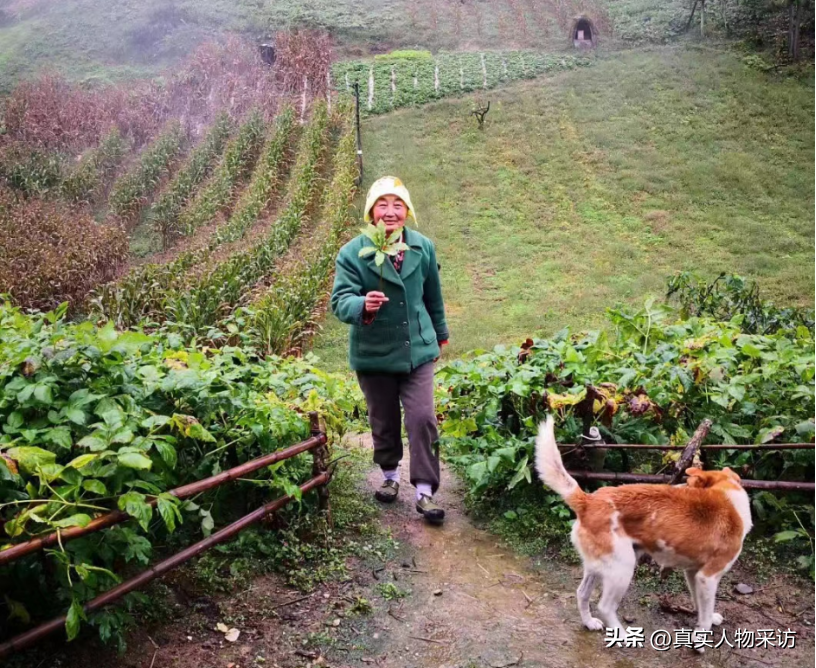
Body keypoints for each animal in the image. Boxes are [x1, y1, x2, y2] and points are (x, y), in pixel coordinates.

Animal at [536, 418, 752, 648]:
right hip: (623, 568)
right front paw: (700, 639)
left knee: (582, 593)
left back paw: (589, 622)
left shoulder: (694, 574)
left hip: (599, 566)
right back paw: (623, 636)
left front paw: (710, 618)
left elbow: (701, 605)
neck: (728, 496)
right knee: (605, 607)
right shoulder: (708, 576)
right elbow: (704, 615)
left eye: (689, 483)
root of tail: (588, 501)